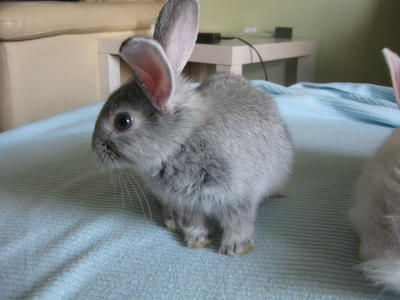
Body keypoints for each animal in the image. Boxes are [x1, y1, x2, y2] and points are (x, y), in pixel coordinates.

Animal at [92, 0, 292, 254]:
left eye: (123, 121)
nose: (94, 148)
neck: (180, 142)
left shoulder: (238, 196)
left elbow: (238, 222)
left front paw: (234, 247)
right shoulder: (188, 204)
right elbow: (193, 222)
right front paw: (197, 240)